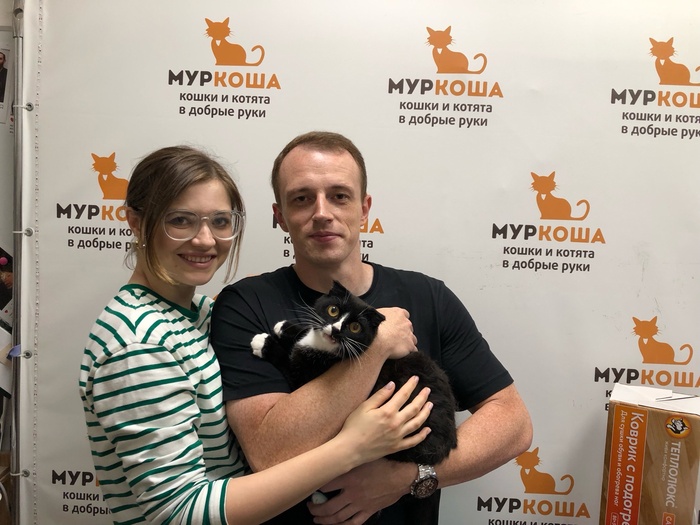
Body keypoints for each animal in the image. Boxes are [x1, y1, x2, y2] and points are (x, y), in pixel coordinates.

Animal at [251, 281, 458, 524]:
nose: (335, 330)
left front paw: (264, 343)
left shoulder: (307, 376)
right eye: (333, 310)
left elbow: (288, 363)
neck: (329, 349)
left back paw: (321, 496)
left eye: (355, 327)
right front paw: (287, 327)